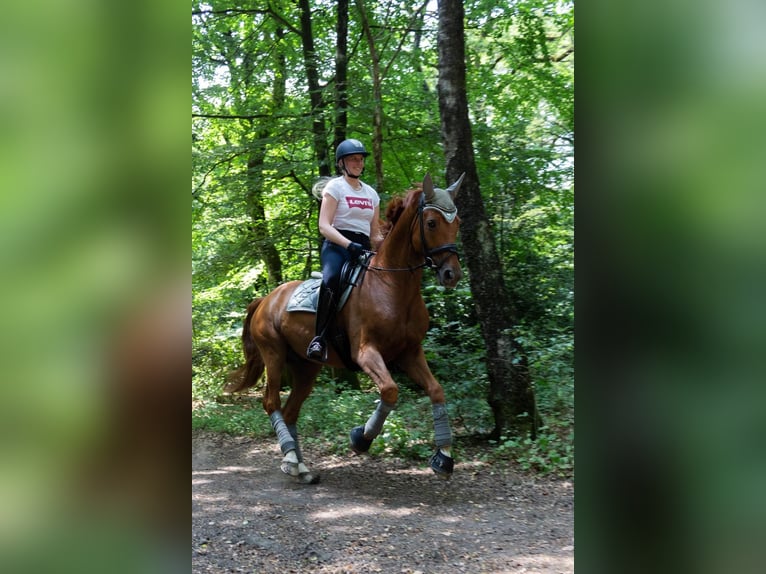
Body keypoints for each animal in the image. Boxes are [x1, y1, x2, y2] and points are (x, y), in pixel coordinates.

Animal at [226, 173, 468, 484]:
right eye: (432, 223)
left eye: (457, 222)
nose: (452, 274)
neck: (393, 286)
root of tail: (266, 299)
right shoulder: (366, 353)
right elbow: (390, 390)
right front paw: (360, 438)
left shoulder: (410, 353)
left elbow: (436, 391)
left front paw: (444, 457)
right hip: (274, 354)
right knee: (271, 403)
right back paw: (291, 458)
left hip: (306, 367)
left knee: (291, 411)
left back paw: (299, 466)